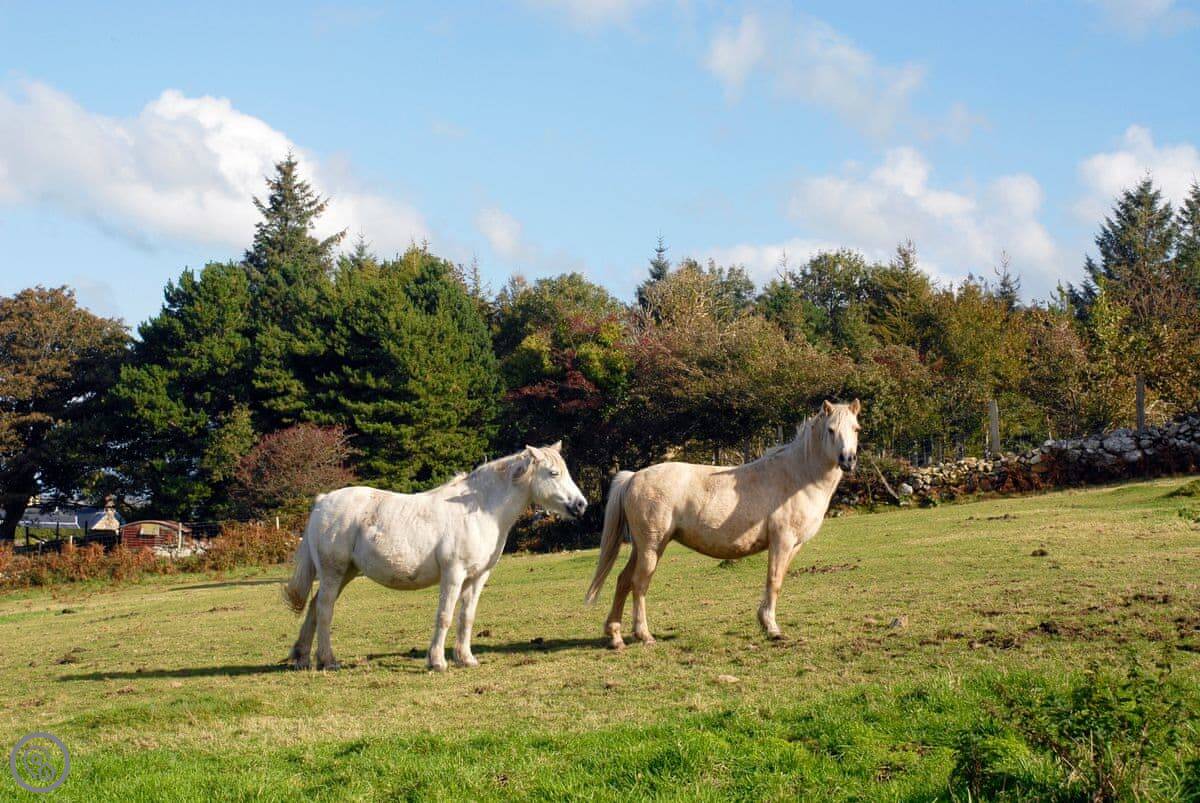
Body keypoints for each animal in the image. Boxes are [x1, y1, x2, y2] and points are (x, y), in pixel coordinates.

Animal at [283, 442, 587, 671]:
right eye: (553, 473)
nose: (581, 505)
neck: (480, 510)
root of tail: (323, 501)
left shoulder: (477, 577)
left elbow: (466, 617)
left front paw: (466, 659)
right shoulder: (453, 574)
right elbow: (445, 615)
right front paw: (437, 661)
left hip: (346, 573)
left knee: (314, 606)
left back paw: (302, 658)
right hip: (334, 572)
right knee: (324, 609)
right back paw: (328, 660)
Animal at [586, 400, 861, 649]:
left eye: (856, 428)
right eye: (831, 429)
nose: (848, 460)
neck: (797, 476)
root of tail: (633, 477)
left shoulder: (794, 545)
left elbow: (778, 580)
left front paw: (765, 622)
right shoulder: (782, 541)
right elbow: (774, 581)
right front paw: (773, 629)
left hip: (640, 547)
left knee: (623, 580)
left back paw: (616, 637)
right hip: (652, 547)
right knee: (639, 584)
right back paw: (644, 635)